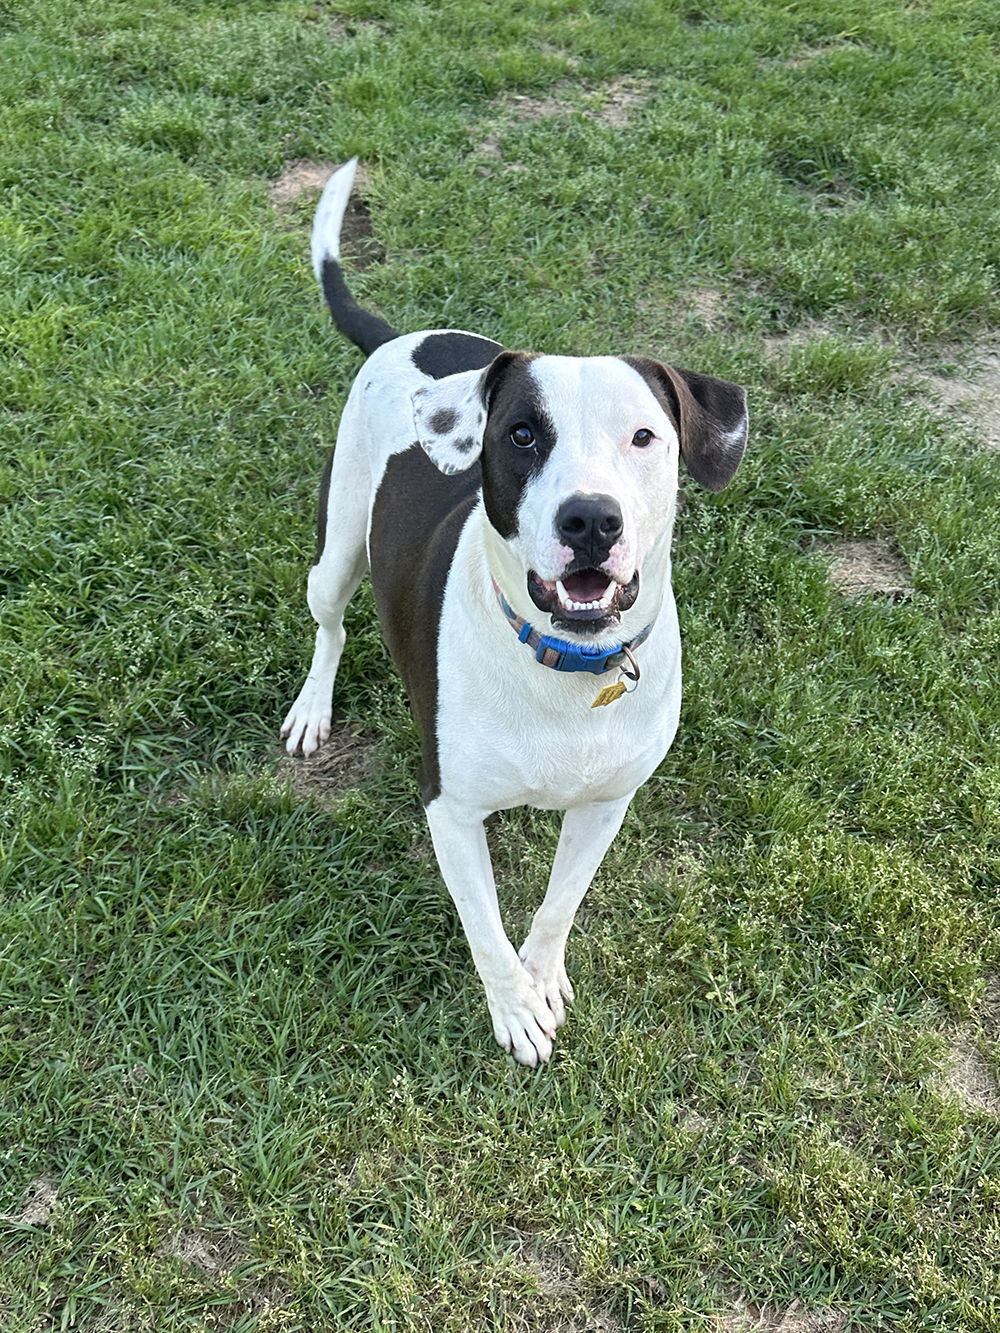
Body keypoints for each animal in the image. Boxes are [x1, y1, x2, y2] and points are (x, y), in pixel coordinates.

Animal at [282, 161, 752, 1066]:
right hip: (338, 549)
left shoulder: (607, 802)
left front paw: (545, 977)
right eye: (524, 434)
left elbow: (557, 905)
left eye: (645, 437)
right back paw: (312, 708)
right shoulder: (450, 808)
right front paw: (515, 1008)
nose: (591, 519)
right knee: (329, 623)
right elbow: (486, 930)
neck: (565, 666)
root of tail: (403, 336)